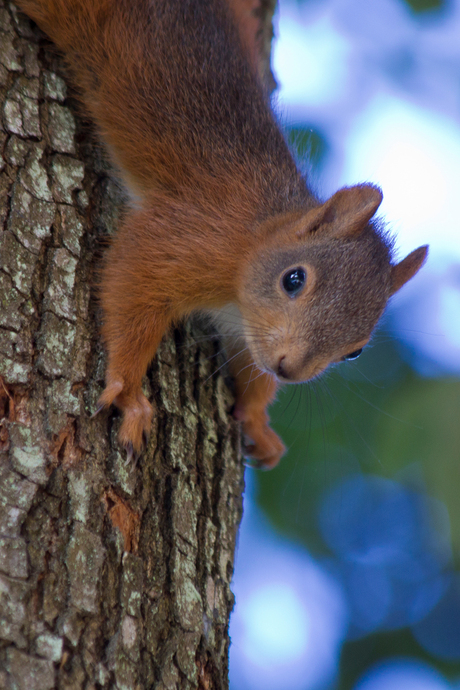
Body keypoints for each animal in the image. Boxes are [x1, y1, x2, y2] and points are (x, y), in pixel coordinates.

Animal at [18, 0, 428, 468]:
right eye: (293, 279)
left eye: (355, 350)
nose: (288, 369)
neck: (254, 240)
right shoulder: (186, 240)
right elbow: (132, 282)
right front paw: (128, 393)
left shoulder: (248, 328)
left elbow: (251, 367)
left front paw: (256, 420)